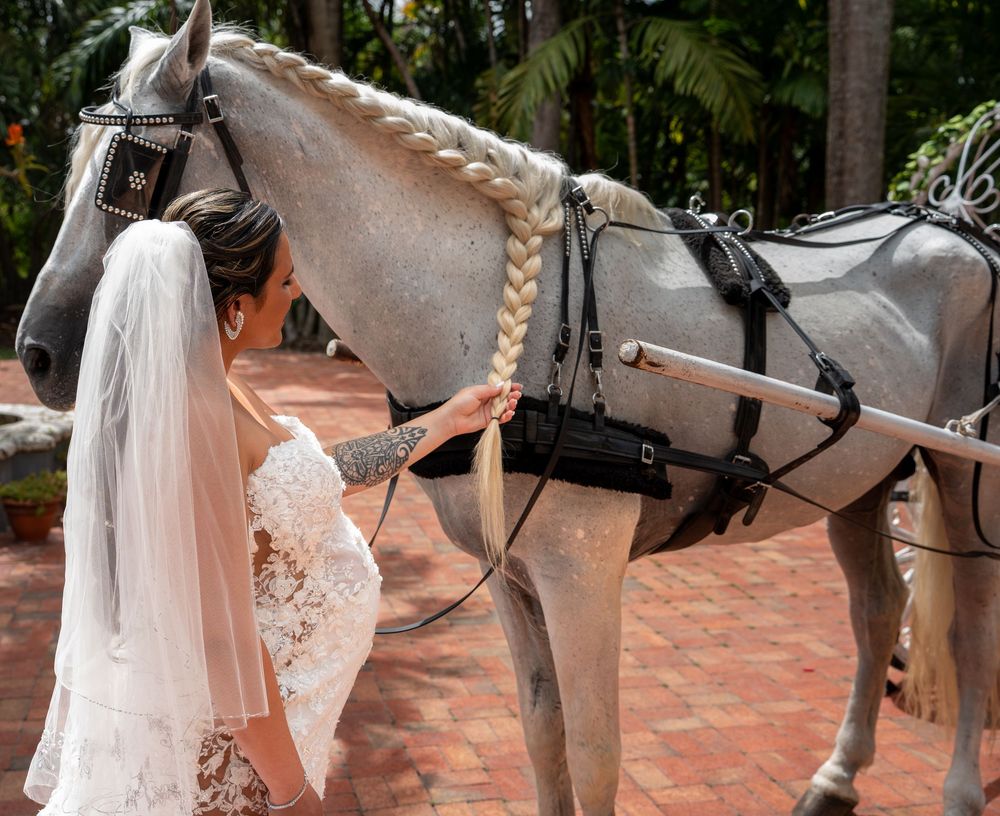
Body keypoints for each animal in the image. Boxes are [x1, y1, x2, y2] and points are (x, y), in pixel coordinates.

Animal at [16, 2, 1000, 813]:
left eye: (133, 167)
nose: (37, 355)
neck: (514, 321)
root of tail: (958, 225)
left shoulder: (581, 571)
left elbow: (596, 754)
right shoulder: (512, 575)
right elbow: (544, 734)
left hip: (961, 469)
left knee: (970, 628)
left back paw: (957, 788)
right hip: (862, 478)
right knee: (876, 613)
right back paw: (837, 776)